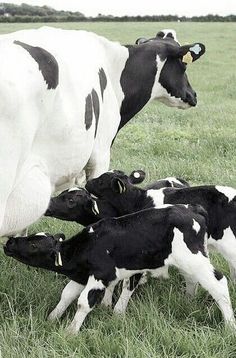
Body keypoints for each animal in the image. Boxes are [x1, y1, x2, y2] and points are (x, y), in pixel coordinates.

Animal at [4, 204, 235, 332]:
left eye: (34, 245)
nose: (9, 243)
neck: (88, 245)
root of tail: (193, 209)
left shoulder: (99, 275)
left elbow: (83, 303)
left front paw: (70, 332)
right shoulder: (81, 276)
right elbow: (67, 295)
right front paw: (52, 318)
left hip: (193, 258)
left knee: (218, 283)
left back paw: (229, 325)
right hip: (191, 260)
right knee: (193, 279)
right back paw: (188, 301)